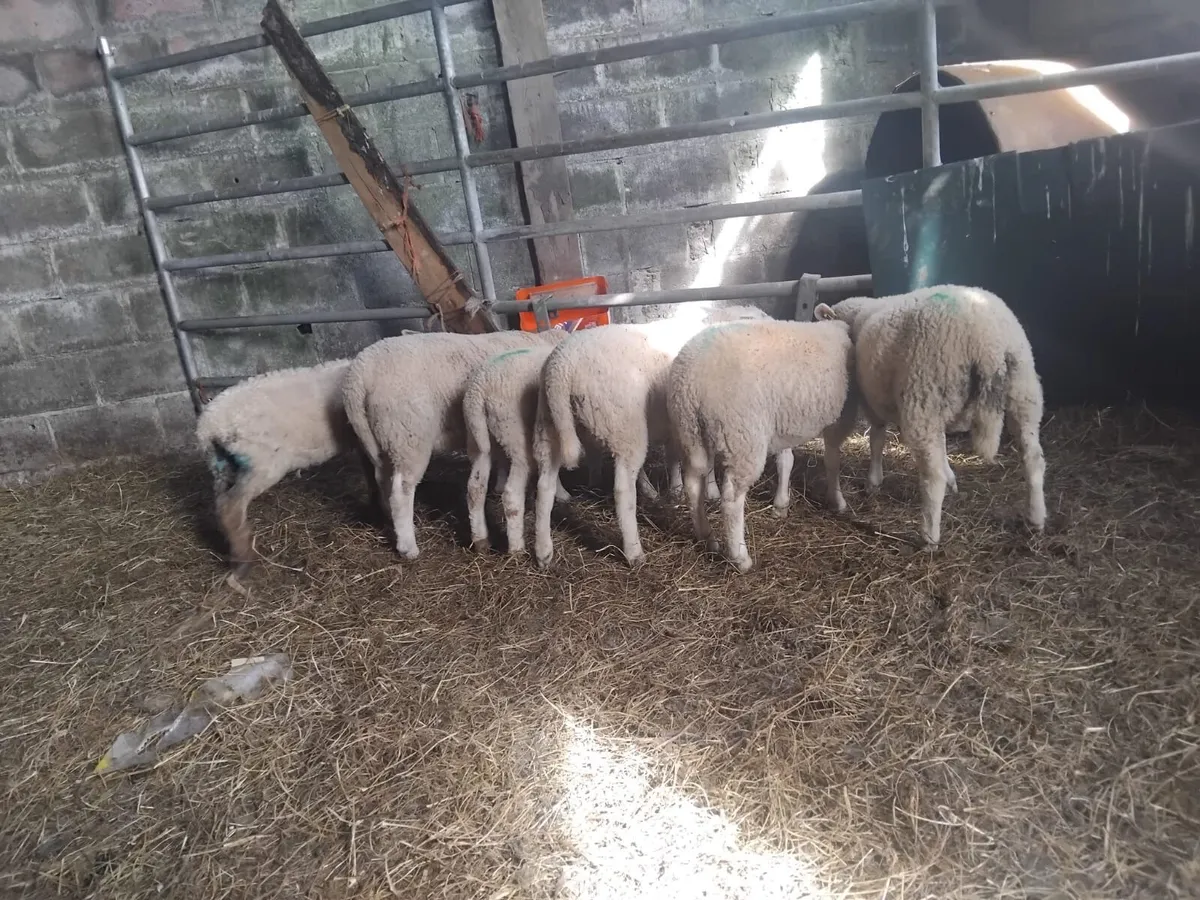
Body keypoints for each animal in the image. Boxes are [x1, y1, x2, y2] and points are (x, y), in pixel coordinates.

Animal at [196, 359, 366, 575]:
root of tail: (209, 428)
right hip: (262, 464)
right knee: (231, 507)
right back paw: (244, 560)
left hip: (223, 469)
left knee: (221, 505)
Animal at [342, 329, 564, 560]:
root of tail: (357, 377)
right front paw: (562, 493)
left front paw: (499, 484)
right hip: (408, 437)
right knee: (401, 491)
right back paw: (408, 547)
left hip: (381, 439)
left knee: (382, 478)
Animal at [531, 303, 771, 568]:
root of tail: (562, 369)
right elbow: (700, 465)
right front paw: (710, 492)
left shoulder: (680, 426)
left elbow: (675, 458)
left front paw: (676, 489)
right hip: (625, 426)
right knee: (622, 490)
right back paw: (634, 552)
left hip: (548, 423)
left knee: (544, 485)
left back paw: (543, 552)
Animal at [668, 318, 858, 573]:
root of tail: (692, 381)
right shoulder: (839, 420)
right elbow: (833, 461)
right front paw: (837, 501)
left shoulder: (783, 423)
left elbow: (786, 461)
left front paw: (781, 505)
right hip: (742, 438)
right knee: (731, 500)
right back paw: (740, 557)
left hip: (690, 433)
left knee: (693, 484)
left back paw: (707, 538)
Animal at [814, 284, 1046, 547]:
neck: (857, 315)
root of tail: (987, 342)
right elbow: (942, 446)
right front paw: (952, 477)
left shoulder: (872, 398)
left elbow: (877, 437)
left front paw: (874, 480)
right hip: (1023, 391)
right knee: (1033, 458)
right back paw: (1036, 518)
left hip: (925, 395)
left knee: (933, 477)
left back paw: (929, 536)